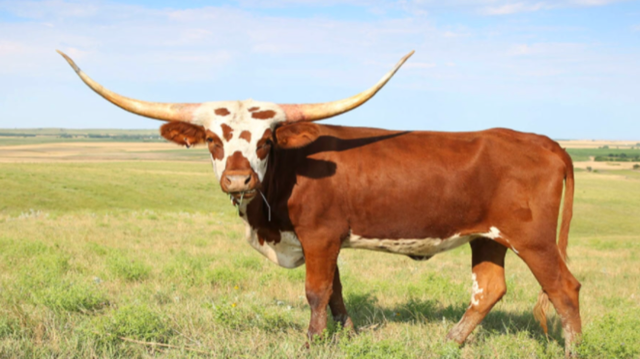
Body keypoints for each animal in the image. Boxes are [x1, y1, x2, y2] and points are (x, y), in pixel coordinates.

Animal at [58, 50, 580, 358]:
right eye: (211, 139)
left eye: (266, 140)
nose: (237, 178)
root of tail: (545, 142)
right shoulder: (326, 241)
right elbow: (336, 293)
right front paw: (346, 336)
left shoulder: (319, 235)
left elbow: (315, 292)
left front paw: (311, 342)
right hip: (487, 237)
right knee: (488, 288)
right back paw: (449, 342)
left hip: (533, 238)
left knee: (563, 288)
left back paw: (572, 347)